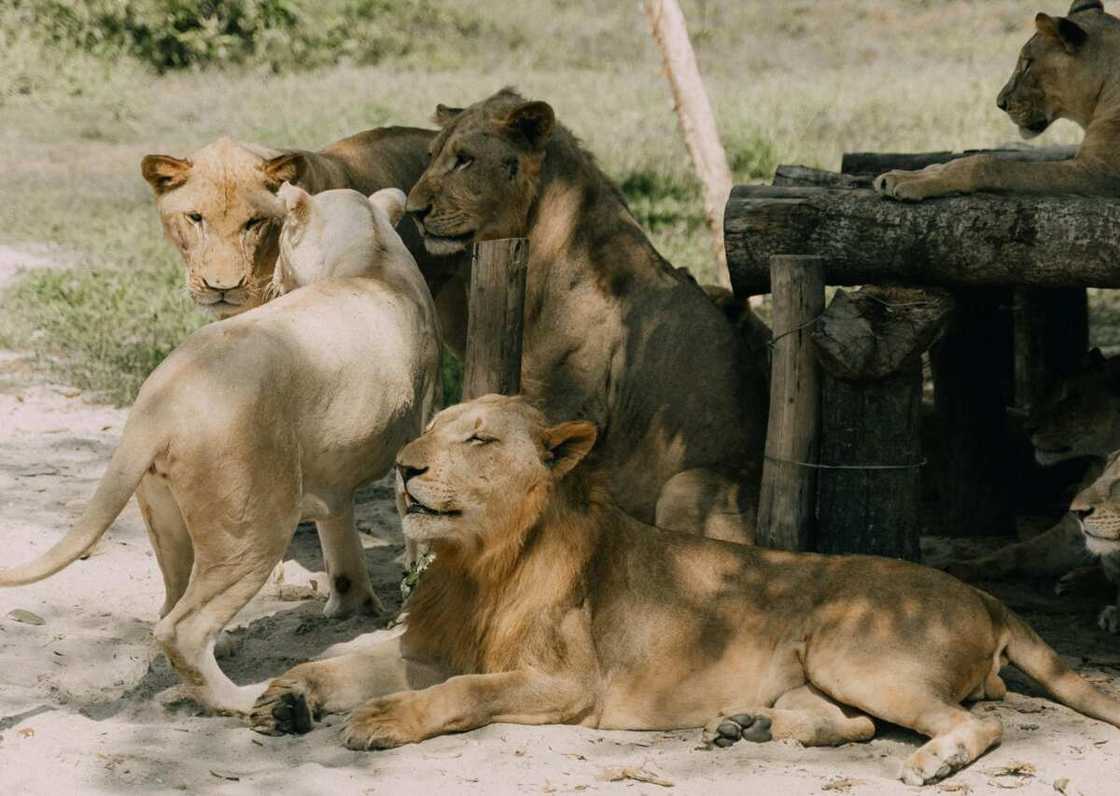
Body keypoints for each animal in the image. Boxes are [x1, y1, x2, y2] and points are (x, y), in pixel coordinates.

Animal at [0, 188, 441, 714]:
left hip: (167, 517)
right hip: (254, 528)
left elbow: (341, 542)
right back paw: (242, 698)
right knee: (181, 629)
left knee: (172, 599)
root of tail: (159, 399)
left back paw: (223, 648)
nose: (270, 281)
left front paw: (353, 607)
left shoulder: (333, 478)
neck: (370, 256)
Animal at [248, 394, 1120, 786]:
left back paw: (932, 761)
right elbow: (346, 664)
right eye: (429, 427)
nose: (404, 466)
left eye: (480, 439)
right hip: (826, 672)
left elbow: (461, 693)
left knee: (975, 724)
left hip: (853, 648)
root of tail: (985, 596)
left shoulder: (567, 683)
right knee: (853, 725)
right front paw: (286, 697)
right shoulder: (434, 646)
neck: (478, 564)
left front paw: (381, 719)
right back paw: (744, 726)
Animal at [403, 88, 769, 543]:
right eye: (431, 155)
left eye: (465, 159)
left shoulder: (567, 402)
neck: (539, 244)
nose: (413, 210)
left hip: (685, 486)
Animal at [875, 1, 1120, 202]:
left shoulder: (1100, 174)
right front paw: (912, 173)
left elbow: (987, 164)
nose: (1000, 103)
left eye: (1027, 64)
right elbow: (985, 156)